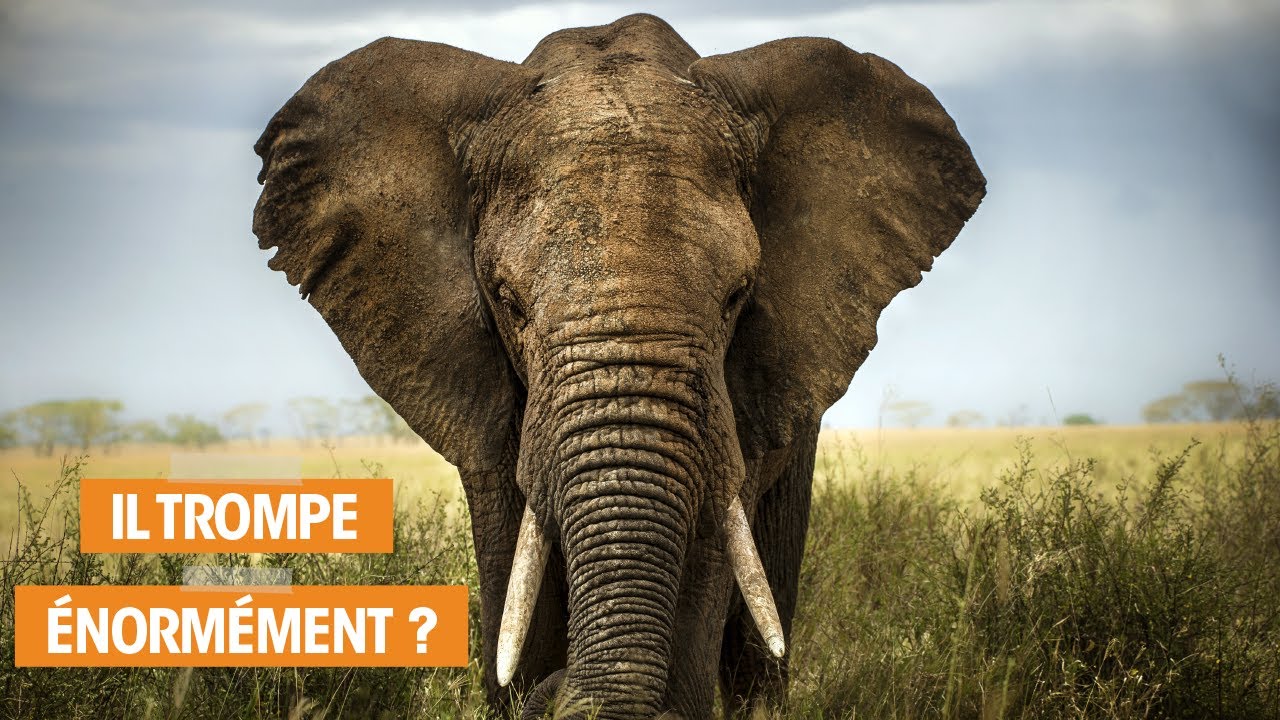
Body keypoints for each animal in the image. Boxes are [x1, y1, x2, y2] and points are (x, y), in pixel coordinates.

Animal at [252, 13, 983, 719]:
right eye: (507, 300)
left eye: (738, 295)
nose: (562, 690)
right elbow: (512, 556)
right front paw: (524, 685)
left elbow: (710, 546)